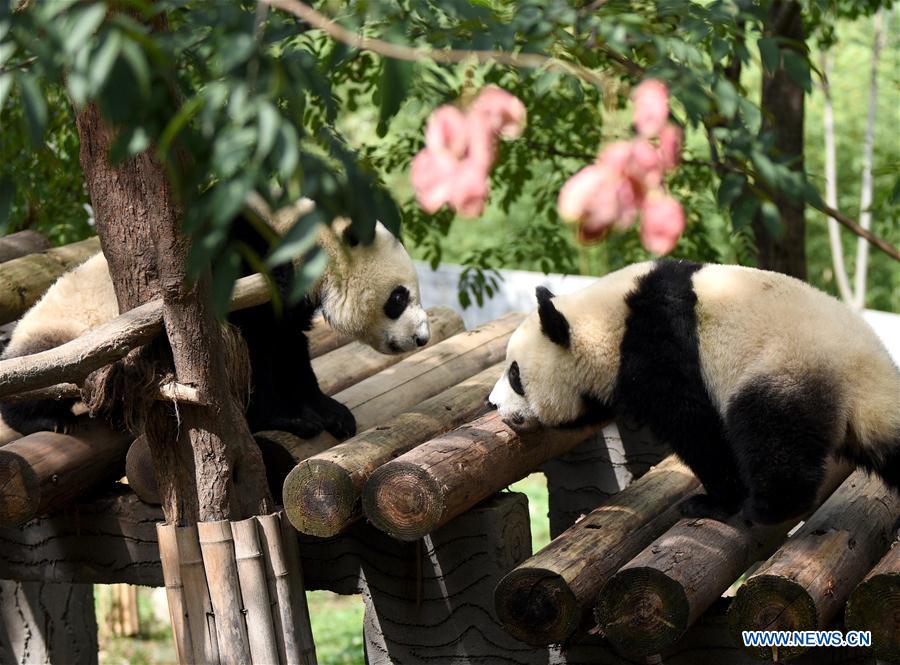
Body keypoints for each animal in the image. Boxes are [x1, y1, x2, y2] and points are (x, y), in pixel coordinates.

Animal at [0, 213, 428, 438]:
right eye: (399, 298)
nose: (422, 337)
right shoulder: (239, 270)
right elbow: (253, 352)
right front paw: (289, 418)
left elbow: (289, 349)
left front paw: (330, 411)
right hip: (69, 334)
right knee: (45, 372)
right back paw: (44, 418)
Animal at [488, 260, 900, 524]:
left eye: (515, 374)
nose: (492, 403)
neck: (608, 323)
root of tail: (868, 375)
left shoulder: (662, 351)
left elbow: (696, 428)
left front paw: (714, 502)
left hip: (788, 367)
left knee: (770, 433)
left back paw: (767, 508)